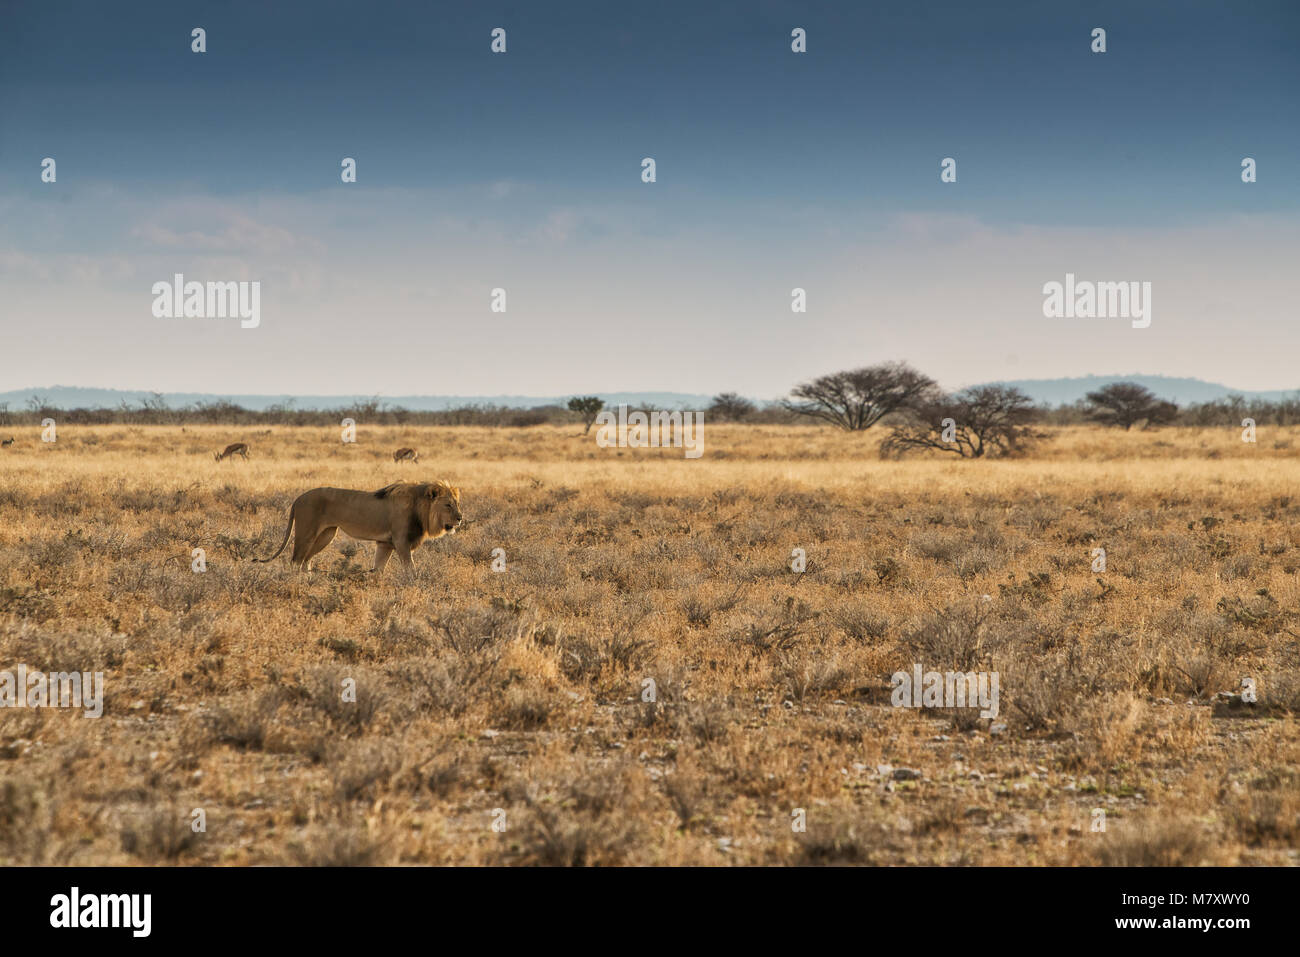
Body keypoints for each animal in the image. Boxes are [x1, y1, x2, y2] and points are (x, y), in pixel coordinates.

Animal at [253, 481, 463, 573]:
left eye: (457, 504)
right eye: (448, 505)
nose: (460, 518)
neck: (420, 509)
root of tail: (298, 498)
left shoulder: (385, 543)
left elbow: (378, 569)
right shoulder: (401, 542)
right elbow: (410, 569)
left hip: (326, 535)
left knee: (306, 560)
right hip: (307, 533)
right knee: (296, 560)